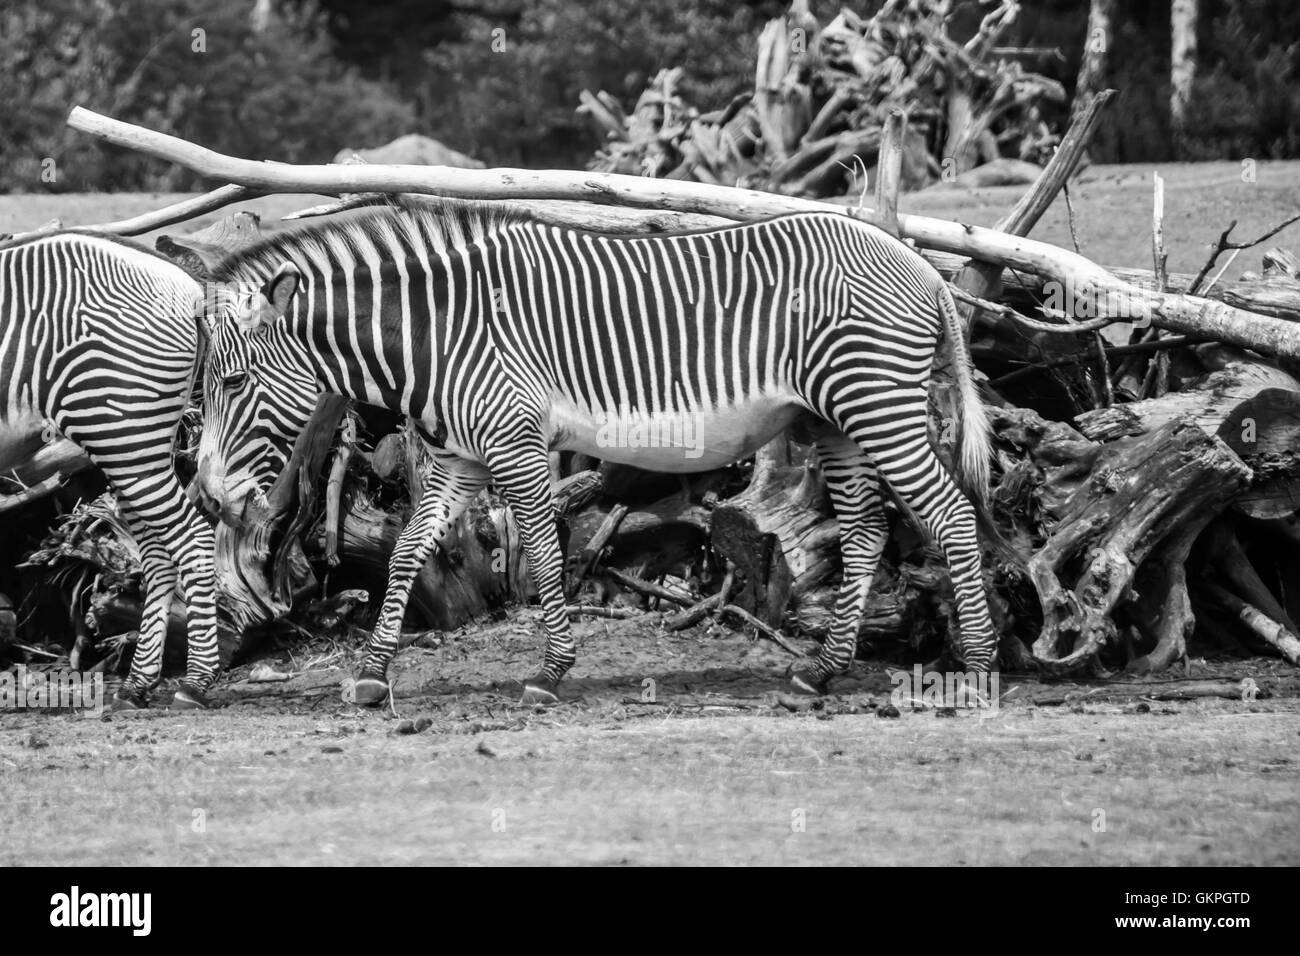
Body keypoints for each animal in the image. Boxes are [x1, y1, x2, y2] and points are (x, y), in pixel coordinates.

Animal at [0, 231, 220, 712]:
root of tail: (187, 284)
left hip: (121, 433)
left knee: (193, 538)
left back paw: (196, 682)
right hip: (135, 444)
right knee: (157, 555)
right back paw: (137, 684)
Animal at [200, 200, 993, 702]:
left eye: (233, 383)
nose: (208, 498)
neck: (441, 332)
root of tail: (918, 260)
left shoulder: (516, 443)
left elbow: (547, 557)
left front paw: (551, 673)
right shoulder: (460, 458)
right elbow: (404, 554)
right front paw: (371, 674)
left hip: (875, 402)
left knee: (951, 517)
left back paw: (979, 668)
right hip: (833, 419)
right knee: (864, 531)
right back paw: (823, 672)